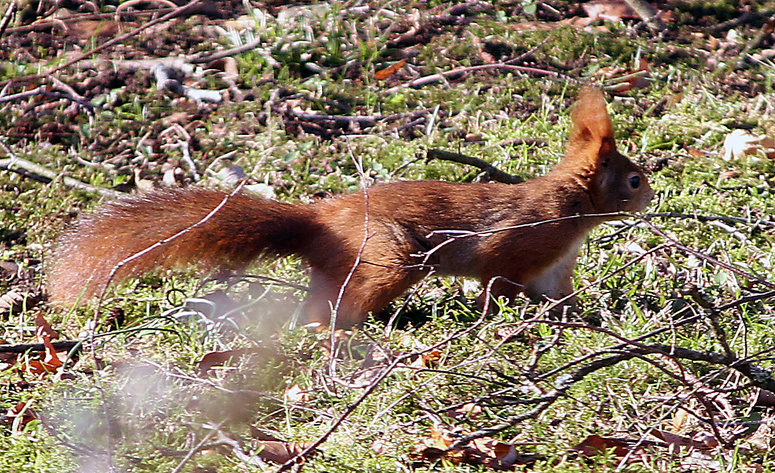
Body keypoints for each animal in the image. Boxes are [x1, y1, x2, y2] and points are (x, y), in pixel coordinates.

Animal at [48, 87, 656, 324]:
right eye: (632, 179)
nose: (652, 197)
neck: (571, 207)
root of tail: (318, 220)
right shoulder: (519, 242)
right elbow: (495, 282)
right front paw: (501, 322)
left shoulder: (556, 266)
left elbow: (559, 297)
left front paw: (584, 320)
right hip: (389, 253)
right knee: (344, 302)